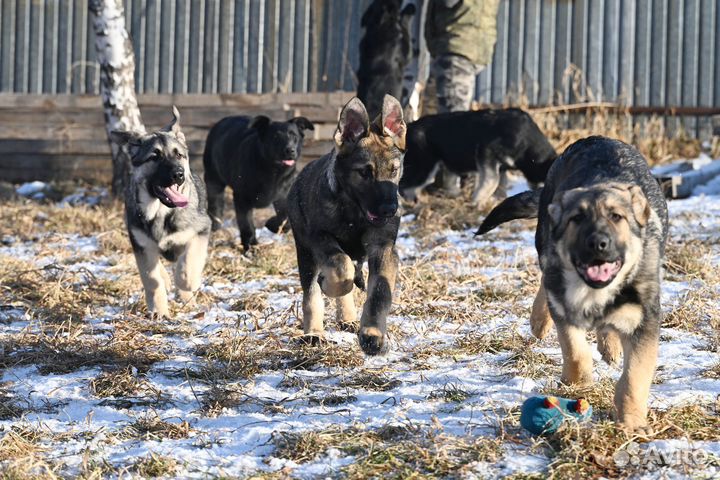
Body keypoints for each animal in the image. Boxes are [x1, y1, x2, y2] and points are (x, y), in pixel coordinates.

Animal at [111, 109, 210, 318]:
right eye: (154, 157)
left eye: (179, 155)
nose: (179, 174)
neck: (161, 213)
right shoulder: (141, 244)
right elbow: (151, 279)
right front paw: (159, 311)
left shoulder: (201, 230)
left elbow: (188, 264)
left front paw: (188, 282)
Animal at [202, 115, 316, 251]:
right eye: (275, 137)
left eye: (294, 136)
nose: (290, 151)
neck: (272, 171)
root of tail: (221, 121)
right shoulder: (241, 197)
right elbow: (246, 224)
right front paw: (251, 246)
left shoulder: (283, 194)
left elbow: (285, 218)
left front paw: (271, 225)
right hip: (213, 180)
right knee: (215, 206)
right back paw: (215, 229)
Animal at [288, 94, 410, 356]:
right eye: (364, 172)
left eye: (394, 170)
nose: (390, 210)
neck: (355, 213)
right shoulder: (319, 238)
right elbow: (339, 267)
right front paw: (330, 285)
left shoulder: (383, 248)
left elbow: (379, 293)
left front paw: (372, 334)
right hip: (305, 252)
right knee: (312, 292)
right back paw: (314, 332)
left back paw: (349, 318)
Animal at [400, 108, 556, 205]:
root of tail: (410, 126)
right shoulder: (487, 152)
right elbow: (492, 182)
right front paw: (477, 201)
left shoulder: (501, 167)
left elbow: (499, 184)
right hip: (423, 166)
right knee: (404, 186)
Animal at [478, 136, 668, 432]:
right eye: (577, 219)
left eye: (616, 217)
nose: (598, 243)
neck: (592, 292)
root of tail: (596, 138)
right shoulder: (565, 311)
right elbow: (576, 351)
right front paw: (577, 385)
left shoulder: (643, 321)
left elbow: (634, 377)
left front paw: (632, 423)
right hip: (545, 243)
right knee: (545, 278)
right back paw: (540, 321)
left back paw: (610, 345)